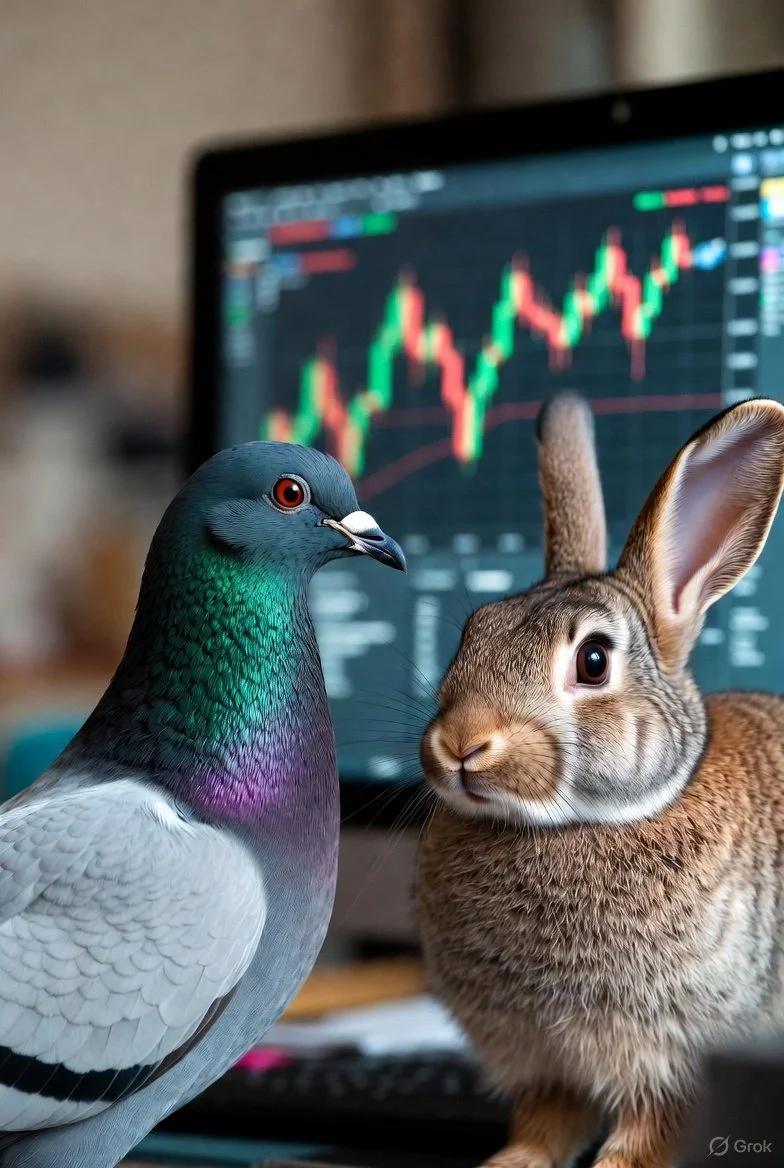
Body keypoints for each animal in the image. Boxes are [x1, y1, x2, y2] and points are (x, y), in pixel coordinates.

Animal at [414, 391, 784, 1168]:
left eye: (592, 661)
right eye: (471, 632)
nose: (461, 744)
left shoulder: (672, 1059)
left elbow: (643, 1140)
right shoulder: (541, 1062)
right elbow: (543, 1128)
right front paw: (505, 1164)